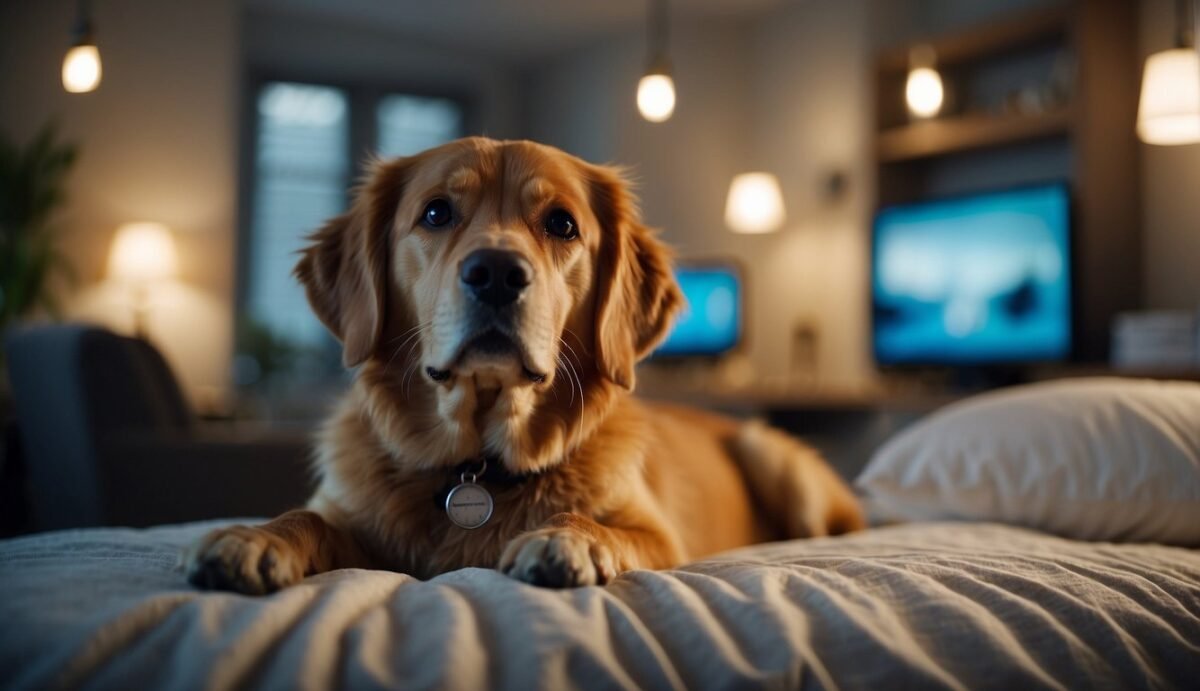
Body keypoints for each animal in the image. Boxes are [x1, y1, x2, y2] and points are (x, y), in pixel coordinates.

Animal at [184, 136, 864, 595]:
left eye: (561, 224)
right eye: (436, 212)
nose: (495, 272)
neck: (475, 469)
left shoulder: (657, 534)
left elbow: (592, 520)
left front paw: (566, 538)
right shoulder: (347, 515)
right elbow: (303, 516)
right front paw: (253, 538)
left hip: (771, 454)